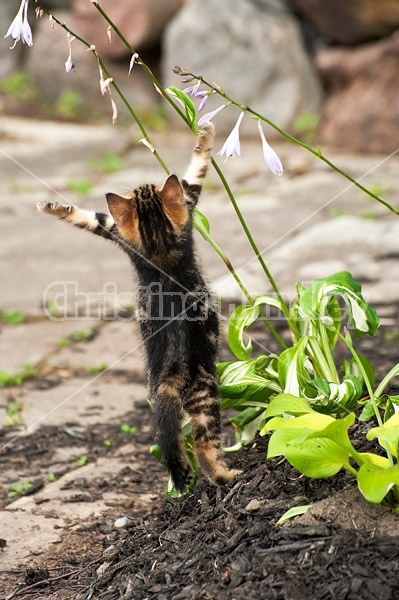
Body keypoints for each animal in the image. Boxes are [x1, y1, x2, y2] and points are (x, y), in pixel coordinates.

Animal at [36, 123, 241, 492]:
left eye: (145, 191)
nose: (144, 184)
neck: (158, 245)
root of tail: (173, 365)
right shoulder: (180, 205)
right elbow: (196, 171)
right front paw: (205, 136)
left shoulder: (120, 231)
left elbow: (89, 218)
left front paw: (54, 207)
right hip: (204, 386)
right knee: (200, 439)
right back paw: (217, 476)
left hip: (172, 393)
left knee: (181, 438)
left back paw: (197, 477)